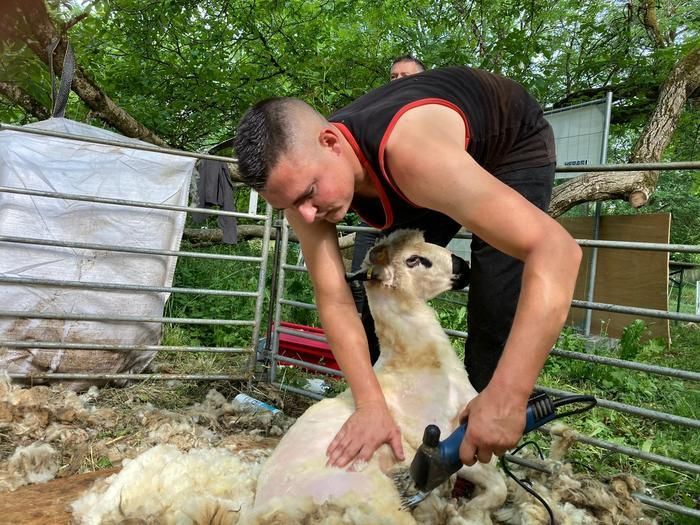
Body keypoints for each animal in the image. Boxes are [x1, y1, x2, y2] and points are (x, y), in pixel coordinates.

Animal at [252, 231, 508, 520]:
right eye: (413, 260)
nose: (463, 266)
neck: (412, 360)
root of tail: (272, 511)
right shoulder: (443, 442)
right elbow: (499, 486)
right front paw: (473, 509)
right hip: (376, 497)